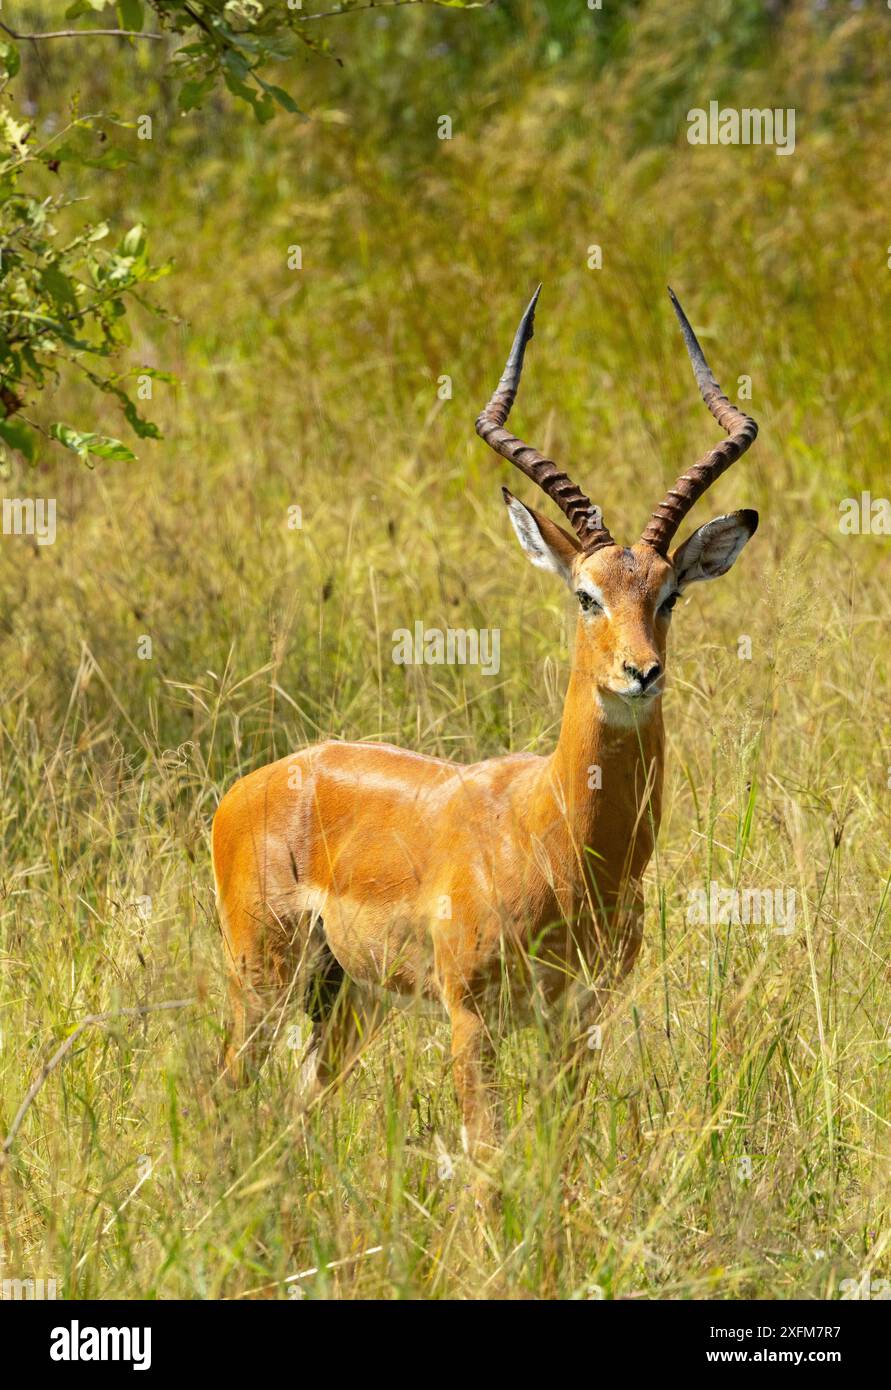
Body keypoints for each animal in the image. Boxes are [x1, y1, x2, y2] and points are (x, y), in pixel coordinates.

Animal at [212, 287, 759, 1154]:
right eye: (585, 595)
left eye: (669, 594)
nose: (641, 672)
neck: (554, 836)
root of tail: (254, 784)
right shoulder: (471, 1019)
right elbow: (487, 1158)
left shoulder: (576, 1022)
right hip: (263, 974)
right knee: (227, 1090)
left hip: (347, 995)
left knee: (305, 1101)